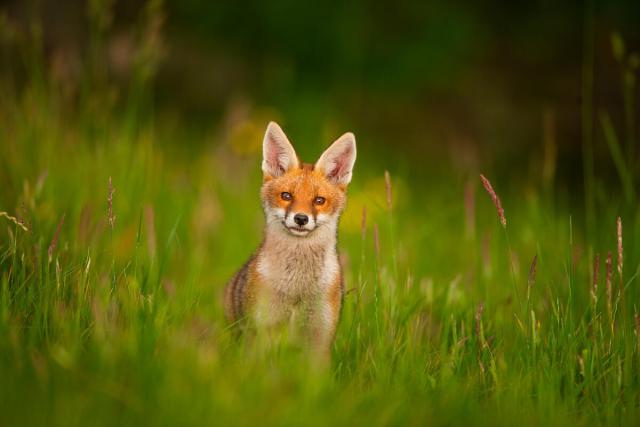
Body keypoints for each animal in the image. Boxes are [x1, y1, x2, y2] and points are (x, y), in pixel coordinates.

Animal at [224, 121, 356, 357]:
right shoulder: (262, 330)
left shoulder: (320, 336)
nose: (301, 218)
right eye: (286, 196)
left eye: (319, 200)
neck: (297, 288)